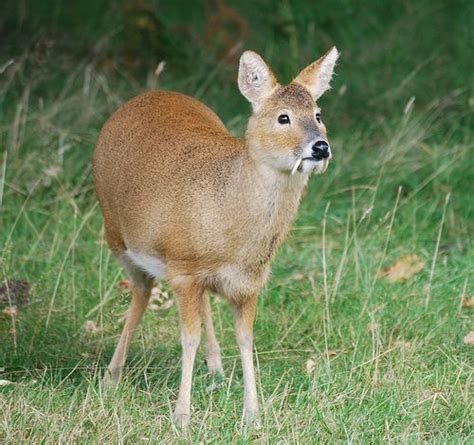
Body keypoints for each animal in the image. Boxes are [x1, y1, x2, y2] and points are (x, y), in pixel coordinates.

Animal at [91, 45, 336, 426]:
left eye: (318, 113)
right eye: (283, 118)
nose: (320, 147)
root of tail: (144, 97)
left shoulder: (249, 282)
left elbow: (246, 338)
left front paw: (252, 414)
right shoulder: (182, 268)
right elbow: (186, 339)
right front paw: (182, 416)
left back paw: (216, 368)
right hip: (117, 235)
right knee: (141, 293)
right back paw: (112, 376)